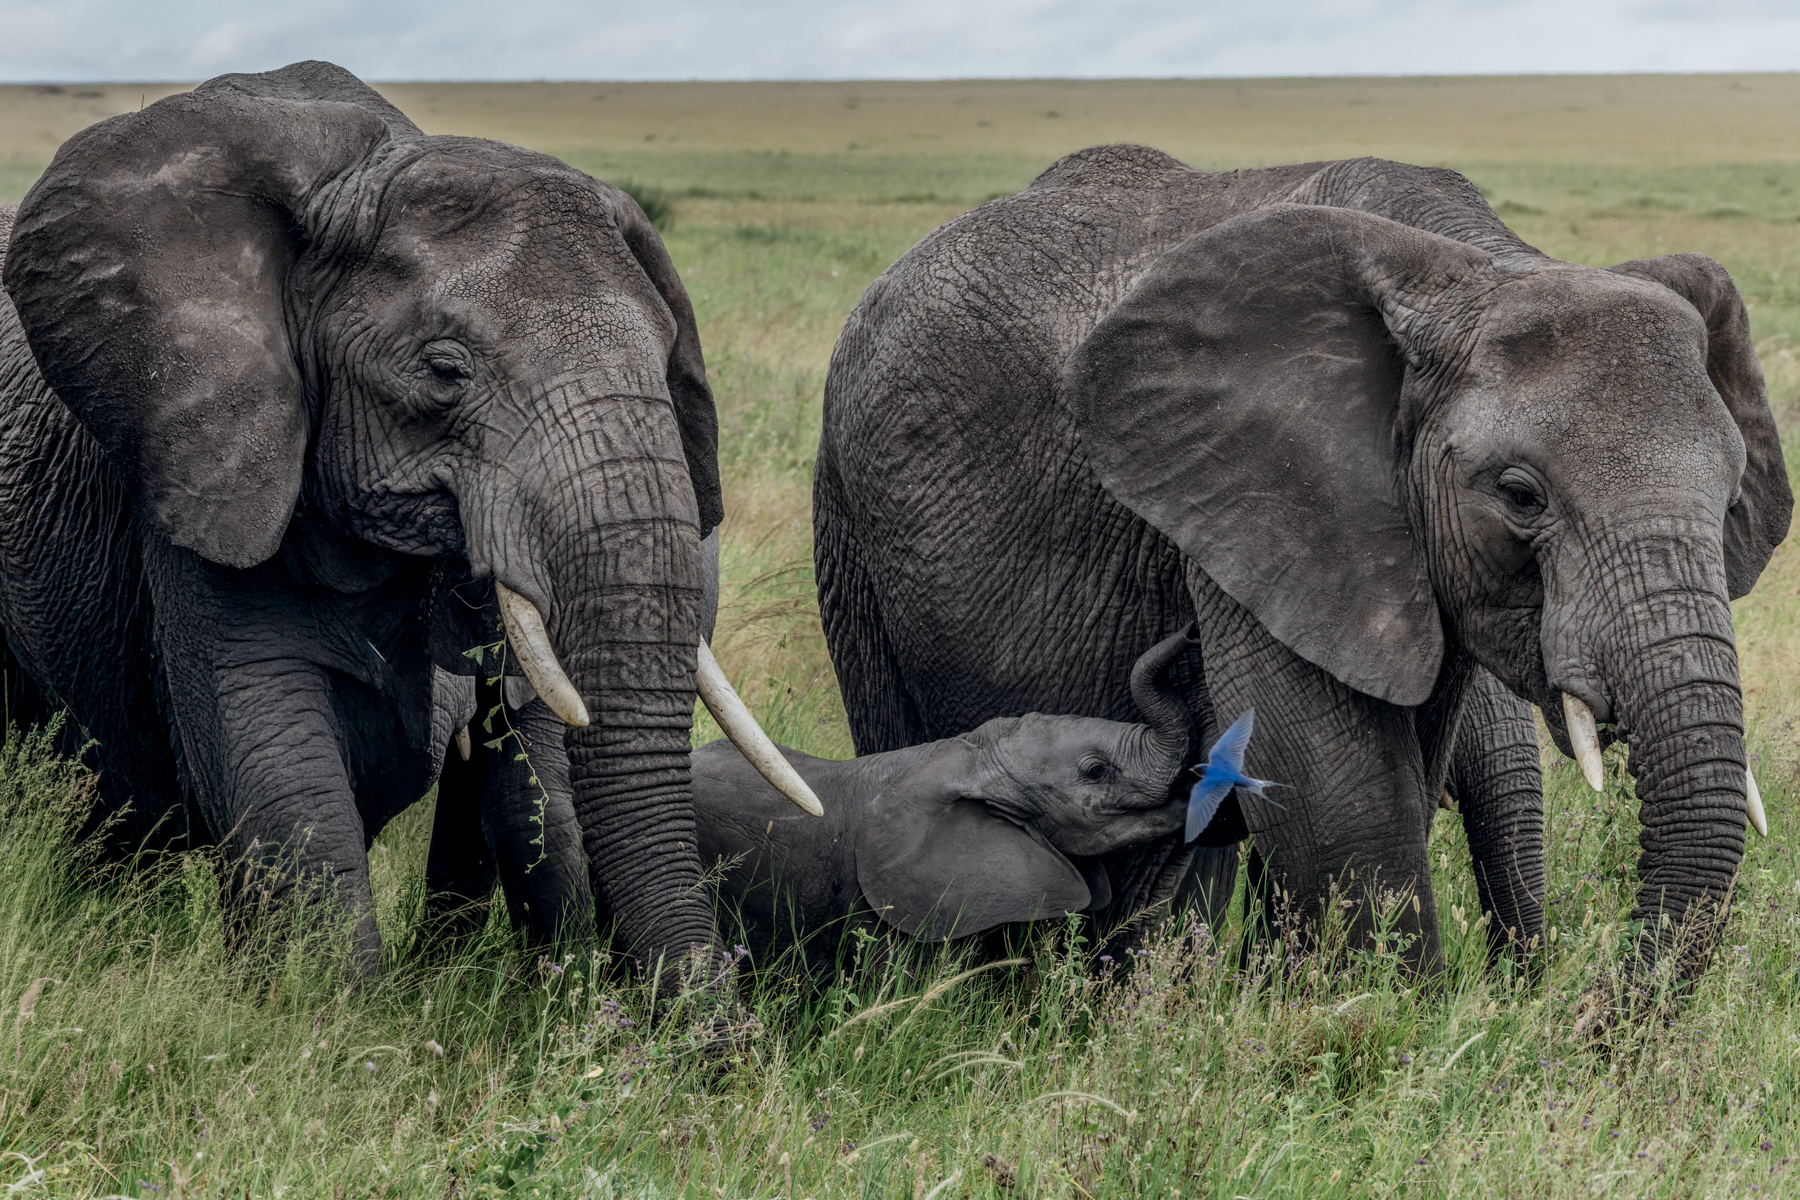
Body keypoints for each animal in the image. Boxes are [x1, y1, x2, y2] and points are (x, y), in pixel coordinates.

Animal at [0, 61, 814, 982]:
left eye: (670, 367)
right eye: (445, 371)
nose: (723, 1013)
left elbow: (532, 762)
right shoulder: (206, 469)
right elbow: (276, 760)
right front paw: (329, 1010)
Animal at [814, 145, 1789, 984]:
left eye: (1730, 498)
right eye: (1520, 495)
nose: (1585, 1014)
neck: (1472, 268)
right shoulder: (1247, 493)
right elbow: (1341, 794)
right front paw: (1393, 1026)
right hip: (850, 531)